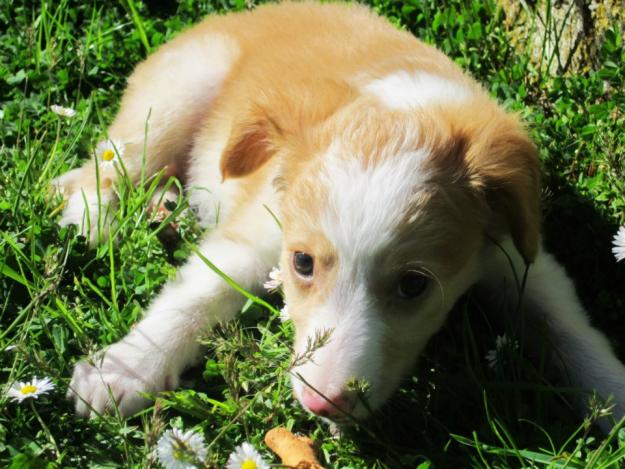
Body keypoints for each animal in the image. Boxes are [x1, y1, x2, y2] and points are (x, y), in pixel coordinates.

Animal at [61, 0, 624, 424]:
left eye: (414, 285)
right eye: (303, 264)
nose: (321, 404)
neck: (410, 113)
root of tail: (245, 13)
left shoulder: (516, 253)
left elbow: (567, 326)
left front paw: (613, 396)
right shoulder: (263, 227)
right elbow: (199, 293)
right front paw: (125, 370)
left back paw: (163, 207)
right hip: (176, 95)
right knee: (99, 167)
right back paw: (94, 223)